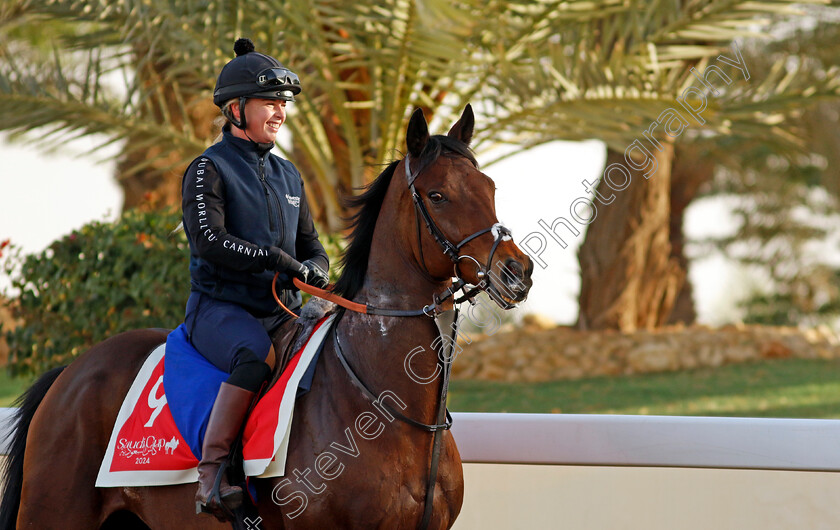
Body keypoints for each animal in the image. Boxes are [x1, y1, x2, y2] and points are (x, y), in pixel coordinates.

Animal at [1, 105, 532, 524]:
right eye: (438, 195)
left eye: (489, 186)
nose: (516, 271)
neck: (393, 411)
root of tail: (70, 372)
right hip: (54, 511)